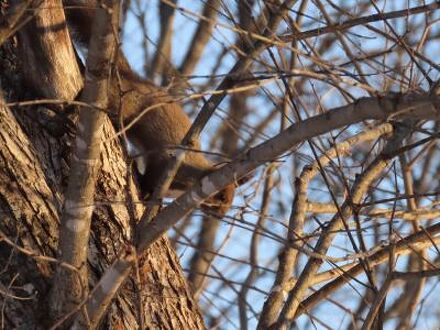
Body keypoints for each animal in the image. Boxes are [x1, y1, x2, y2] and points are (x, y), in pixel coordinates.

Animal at [62, 0, 235, 215]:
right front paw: (144, 189)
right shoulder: (164, 162)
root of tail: (129, 77)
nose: (221, 214)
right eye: (221, 197)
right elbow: (152, 173)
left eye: (230, 202)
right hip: (124, 103)